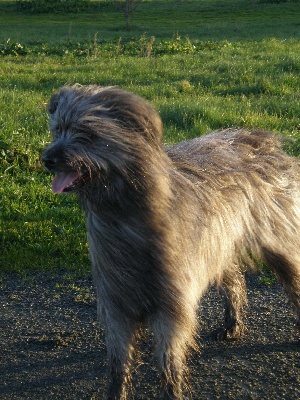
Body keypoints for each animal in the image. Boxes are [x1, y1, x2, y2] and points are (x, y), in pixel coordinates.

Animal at [42, 83, 300, 396]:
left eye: (87, 133)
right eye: (57, 129)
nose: (46, 159)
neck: (125, 215)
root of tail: (261, 139)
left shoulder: (171, 306)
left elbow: (169, 362)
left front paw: (172, 391)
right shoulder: (116, 304)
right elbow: (119, 363)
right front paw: (118, 392)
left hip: (275, 241)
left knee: (291, 278)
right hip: (217, 243)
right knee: (234, 281)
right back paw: (232, 324)